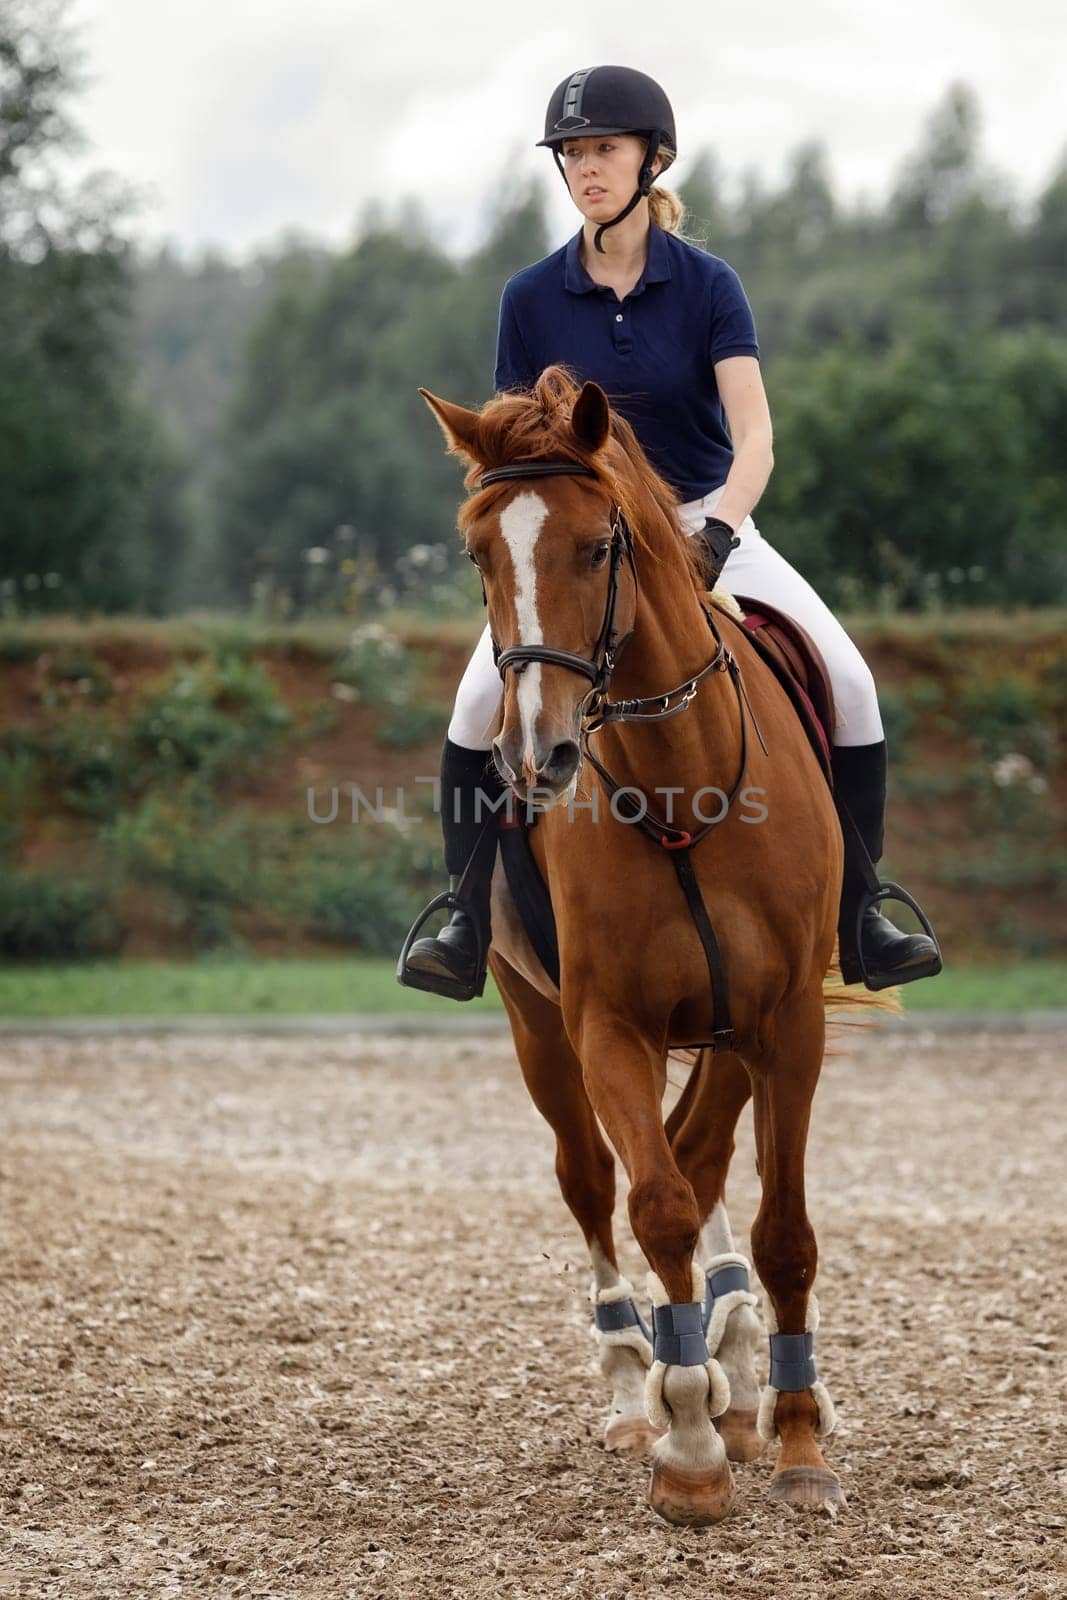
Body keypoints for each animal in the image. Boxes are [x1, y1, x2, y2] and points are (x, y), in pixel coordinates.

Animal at [422, 366, 895, 1523]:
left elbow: (777, 1226)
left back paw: (734, 1355)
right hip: (535, 1020)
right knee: (593, 1181)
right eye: (478, 554)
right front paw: (685, 1440)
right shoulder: (610, 1026)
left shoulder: (782, 1021)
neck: (680, 779)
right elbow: (658, 1203)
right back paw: (638, 1382)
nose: (533, 757)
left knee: (701, 1151)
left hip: (725, 1026)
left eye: (600, 546)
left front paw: (795, 1436)